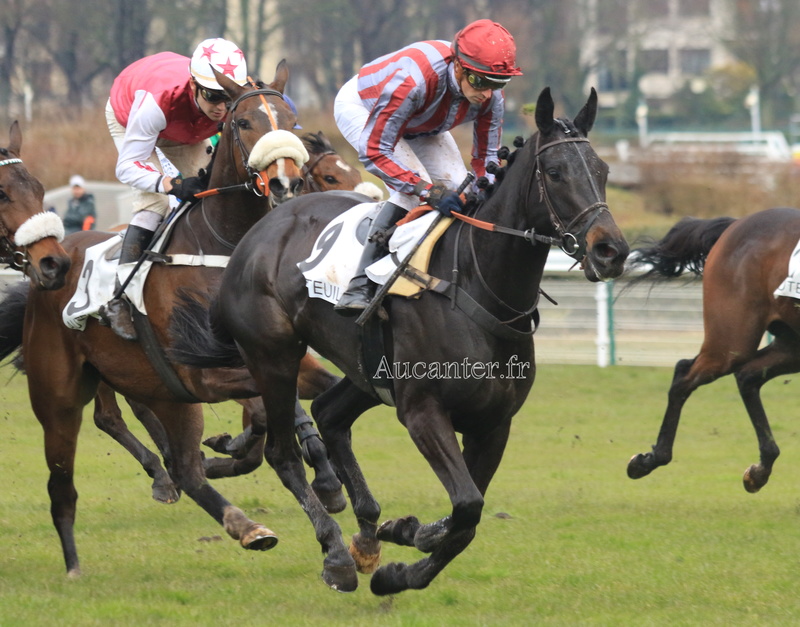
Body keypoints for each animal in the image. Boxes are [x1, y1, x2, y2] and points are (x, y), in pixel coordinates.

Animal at [170, 87, 632, 592]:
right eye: (555, 172)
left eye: (603, 172)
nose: (611, 251)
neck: (476, 285)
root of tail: (256, 234)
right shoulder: (423, 411)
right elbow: (467, 505)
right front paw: (404, 552)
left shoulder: (494, 423)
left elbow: (465, 520)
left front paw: (403, 549)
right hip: (273, 355)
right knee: (283, 452)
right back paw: (337, 553)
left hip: (366, 368)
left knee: (328, 413)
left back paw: (369, 533)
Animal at [628, 209, 800, 494]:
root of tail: (737, 223)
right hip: (730, 341)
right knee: (685, 376)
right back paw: (649, 460)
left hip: (790, 343)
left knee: (747, 375)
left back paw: (759, 471)